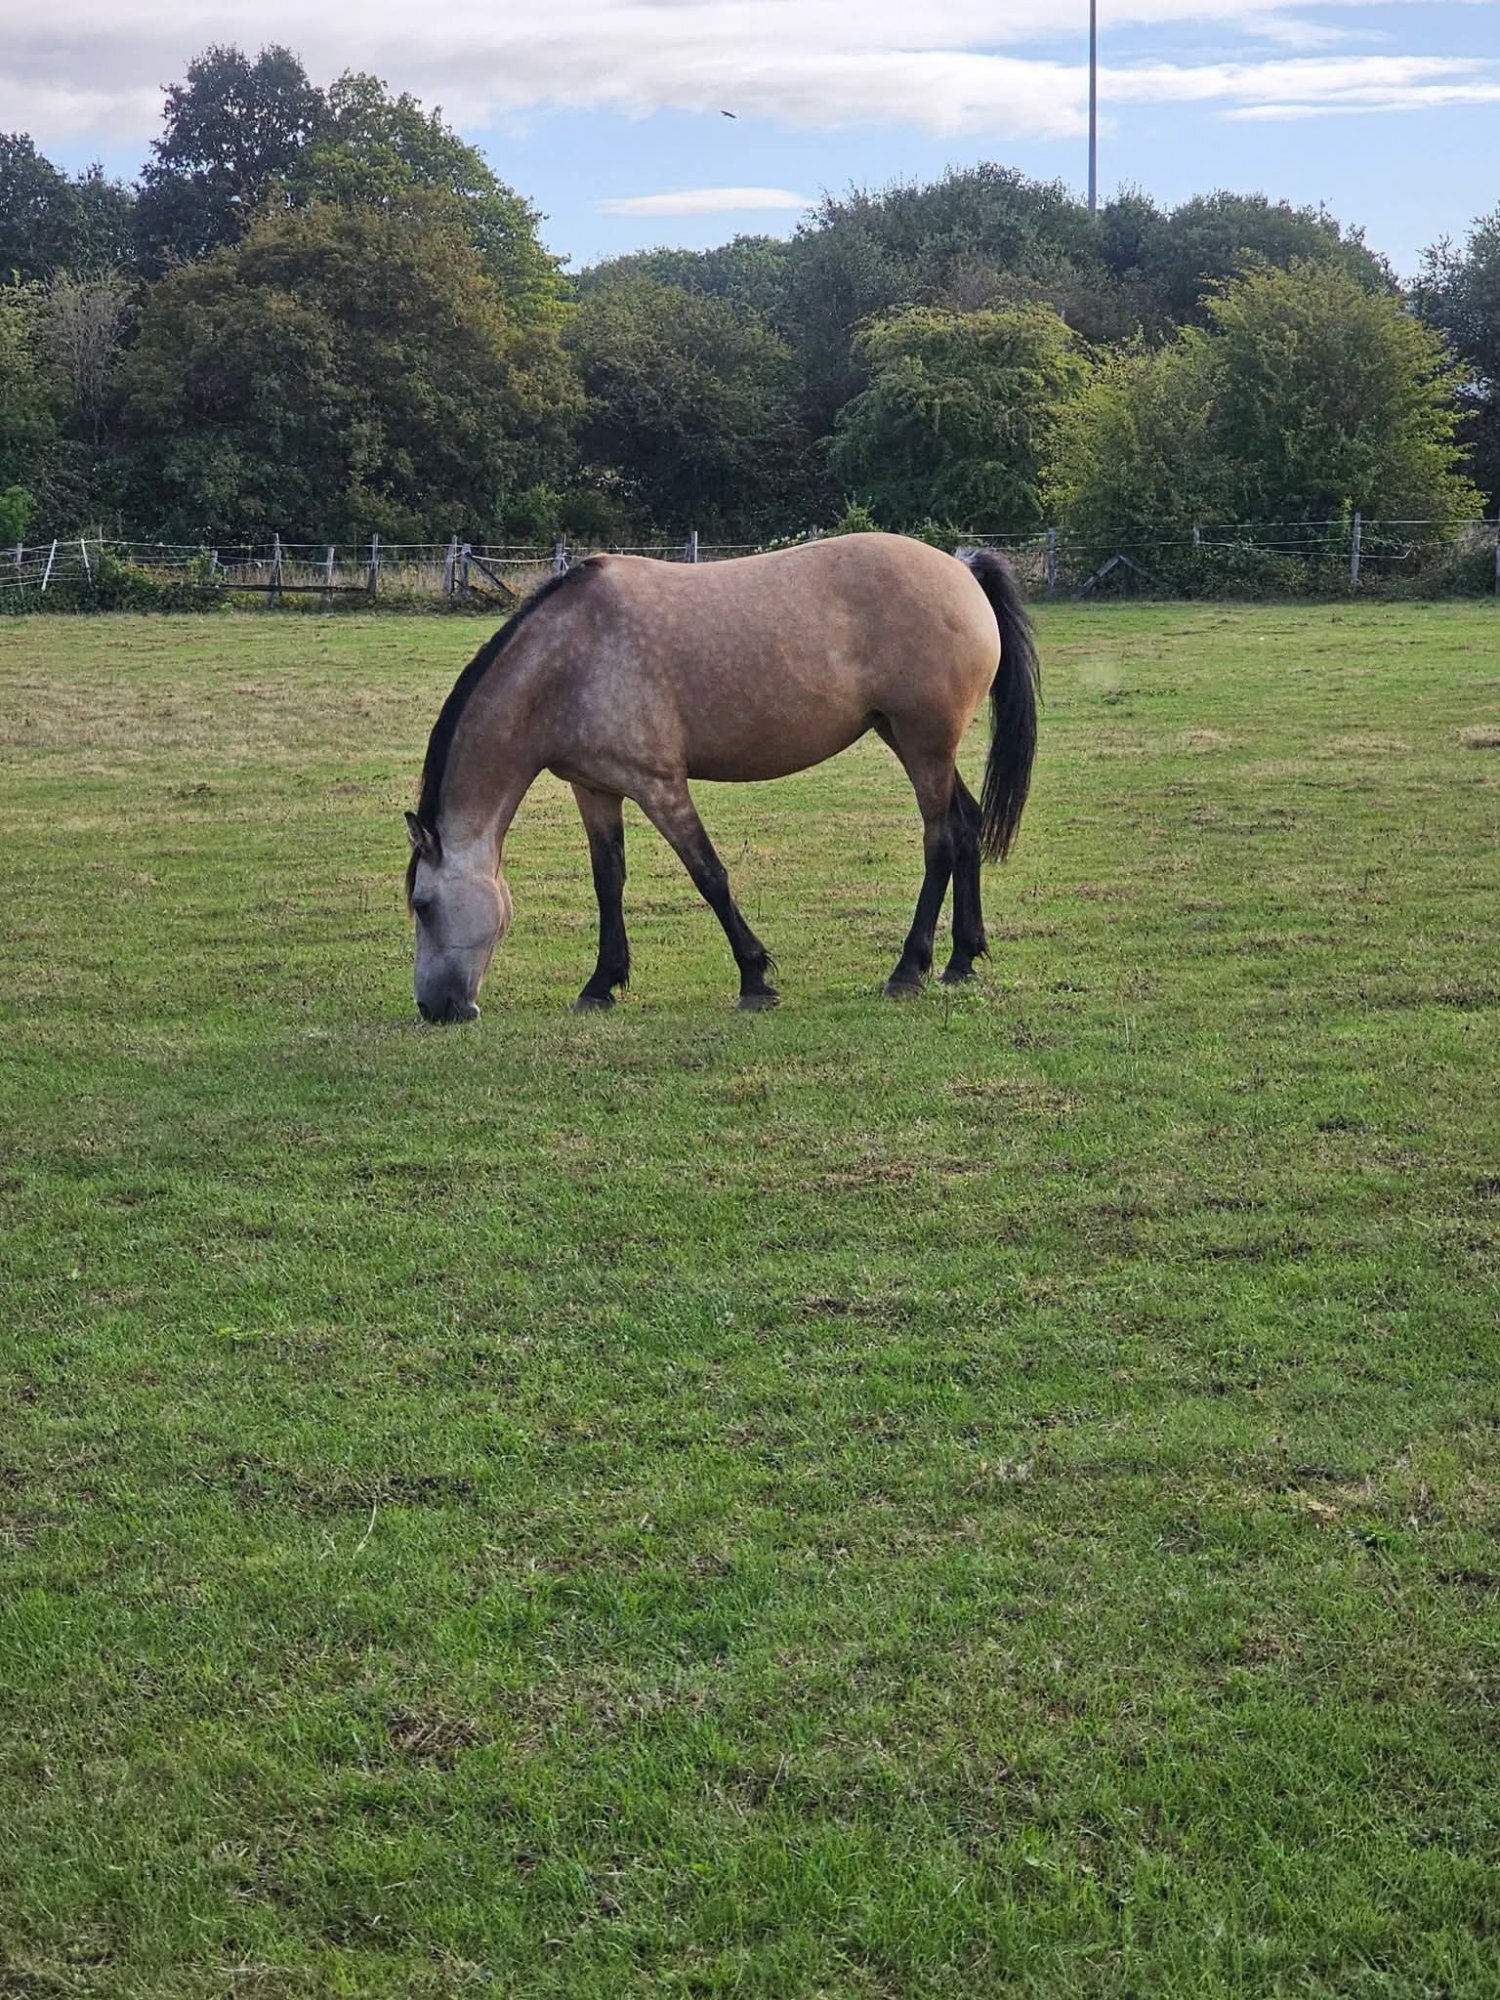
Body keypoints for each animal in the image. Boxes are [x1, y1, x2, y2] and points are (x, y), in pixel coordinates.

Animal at [404, 532, 1038, 1022]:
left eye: (423, 905)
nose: (436, 1009)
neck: (569, 661)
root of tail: (961, 568)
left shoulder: (659, 785)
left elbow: (709, 875)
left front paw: (755, 979)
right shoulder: (596, 788)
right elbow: (609, 881)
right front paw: (601, 984)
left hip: (924, 743)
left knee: (941, 840)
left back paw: (908, 970)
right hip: (910, 740)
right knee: (967, 826)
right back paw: (961, 960)